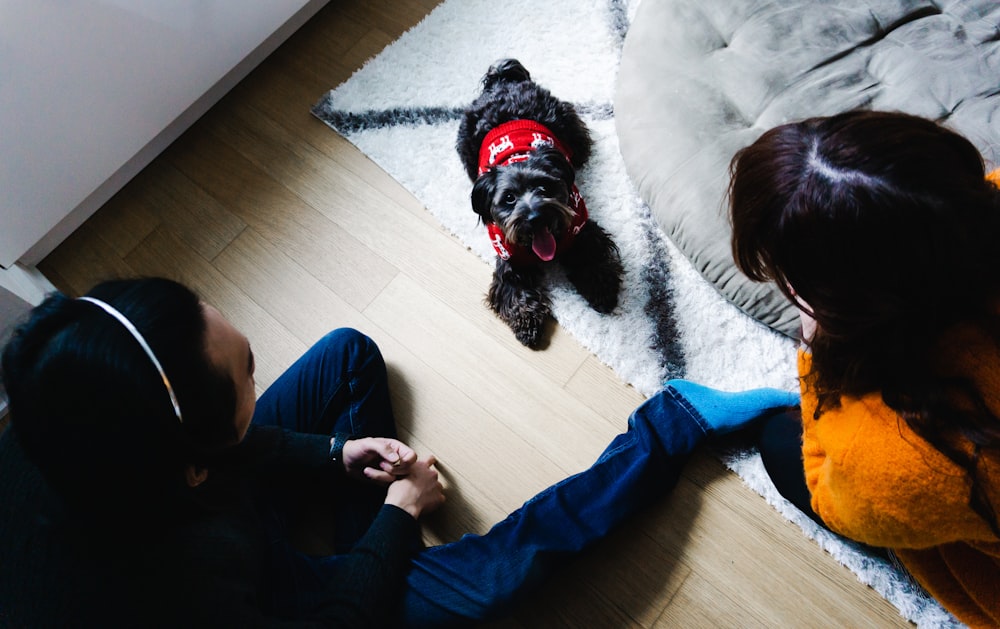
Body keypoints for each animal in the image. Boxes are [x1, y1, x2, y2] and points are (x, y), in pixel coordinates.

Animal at [458, 57, 620, 348]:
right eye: (508, 198)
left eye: (545, 187)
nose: (535, 217)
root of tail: (502, 81)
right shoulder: (509, 256)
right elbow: (515, 290)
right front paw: (527, 323)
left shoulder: (582, 228)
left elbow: (593, 257)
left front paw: (602, 290)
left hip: (565, 122)